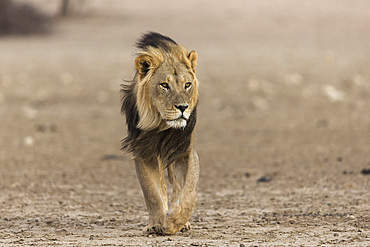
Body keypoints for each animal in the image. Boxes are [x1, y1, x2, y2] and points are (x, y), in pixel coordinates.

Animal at [121, 31, 199, 234]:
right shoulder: (142, 151)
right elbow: (152, 192)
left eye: (187, 85)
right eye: (164, 85)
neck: (161, 126)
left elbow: (189, 191)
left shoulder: (186, 151)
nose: (183, 107)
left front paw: (174, 222)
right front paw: (156, 223)